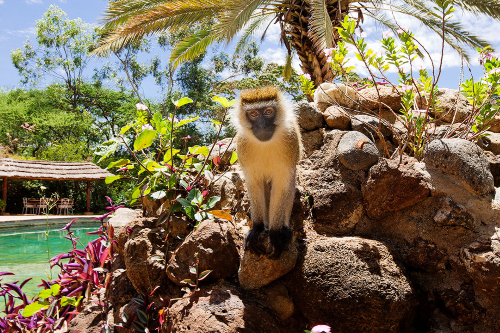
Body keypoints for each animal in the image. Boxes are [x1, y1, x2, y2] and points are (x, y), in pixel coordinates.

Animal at [232, 85, 302, 256]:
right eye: (253, 114)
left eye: (268, 112)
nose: (262, 125)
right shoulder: (242, 145)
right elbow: (254, 184)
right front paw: (257, 228)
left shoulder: (291, 141)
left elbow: (282, 185)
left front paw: (275, 234)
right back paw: (264, 225)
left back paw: (284, 228)